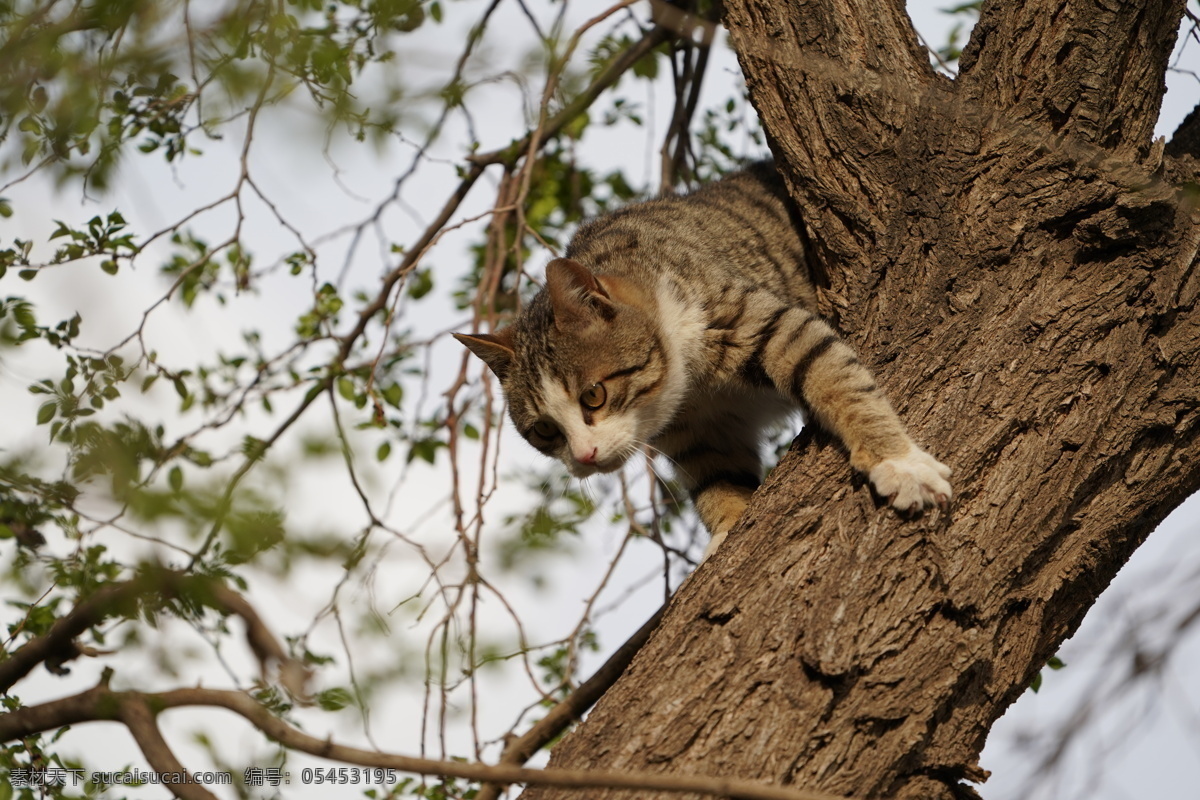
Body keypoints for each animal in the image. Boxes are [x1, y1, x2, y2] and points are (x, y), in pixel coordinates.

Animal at [453, 163, 950, 556]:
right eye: (544, 431)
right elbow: (717, 476)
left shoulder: (755, 321)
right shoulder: (694, 431)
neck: (691, 388)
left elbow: (835, 377)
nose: (584, 456)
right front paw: (728, 529)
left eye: (593, 395)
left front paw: (899, 463)